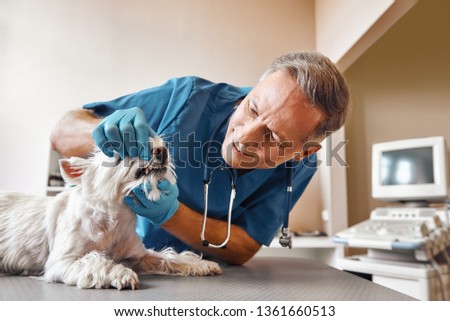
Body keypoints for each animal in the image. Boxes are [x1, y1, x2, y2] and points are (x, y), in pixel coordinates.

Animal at [0, 136, 221, 288]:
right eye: (123, 152)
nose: (161, 150)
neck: (116, 219)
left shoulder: (138, 255)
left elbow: (167, 257)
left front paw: (201, 264)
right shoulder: (62, 262)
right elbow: (96, 260)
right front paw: (121, 274)